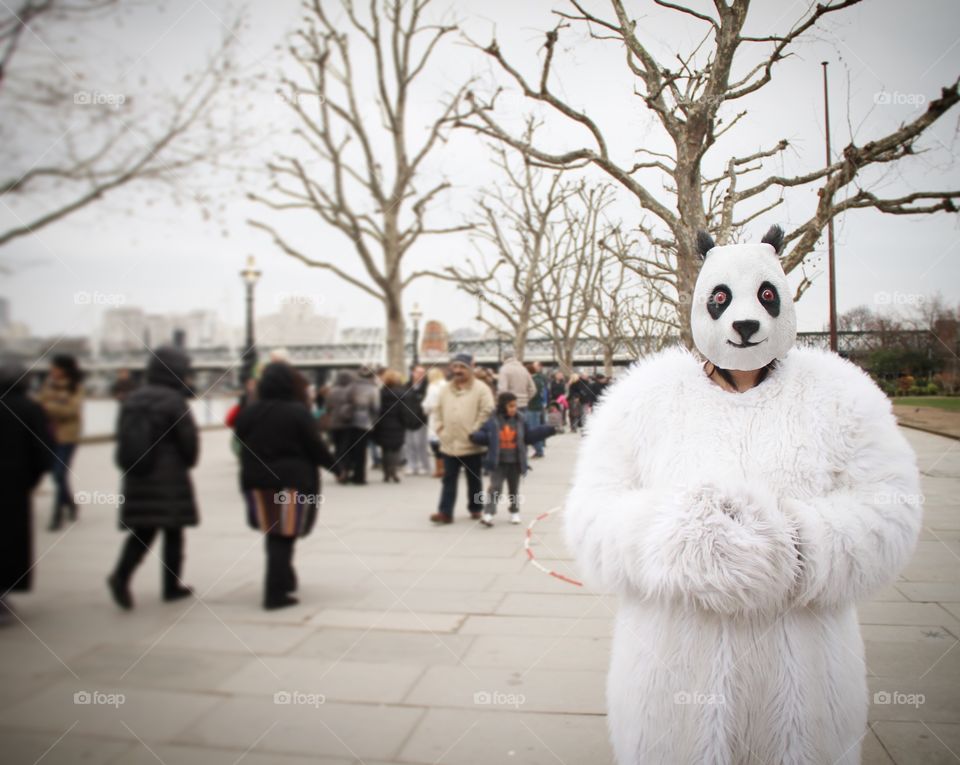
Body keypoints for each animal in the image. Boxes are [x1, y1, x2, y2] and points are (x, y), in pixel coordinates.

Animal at [564, 226, 922, 764]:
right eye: (719, 296)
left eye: (768, 292)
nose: (747, 325)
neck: (742, 387)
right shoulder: (626, 413)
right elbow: (603, 503)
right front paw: (710, 533)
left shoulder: (856, 408)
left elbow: (880, 500)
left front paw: (765, 532)